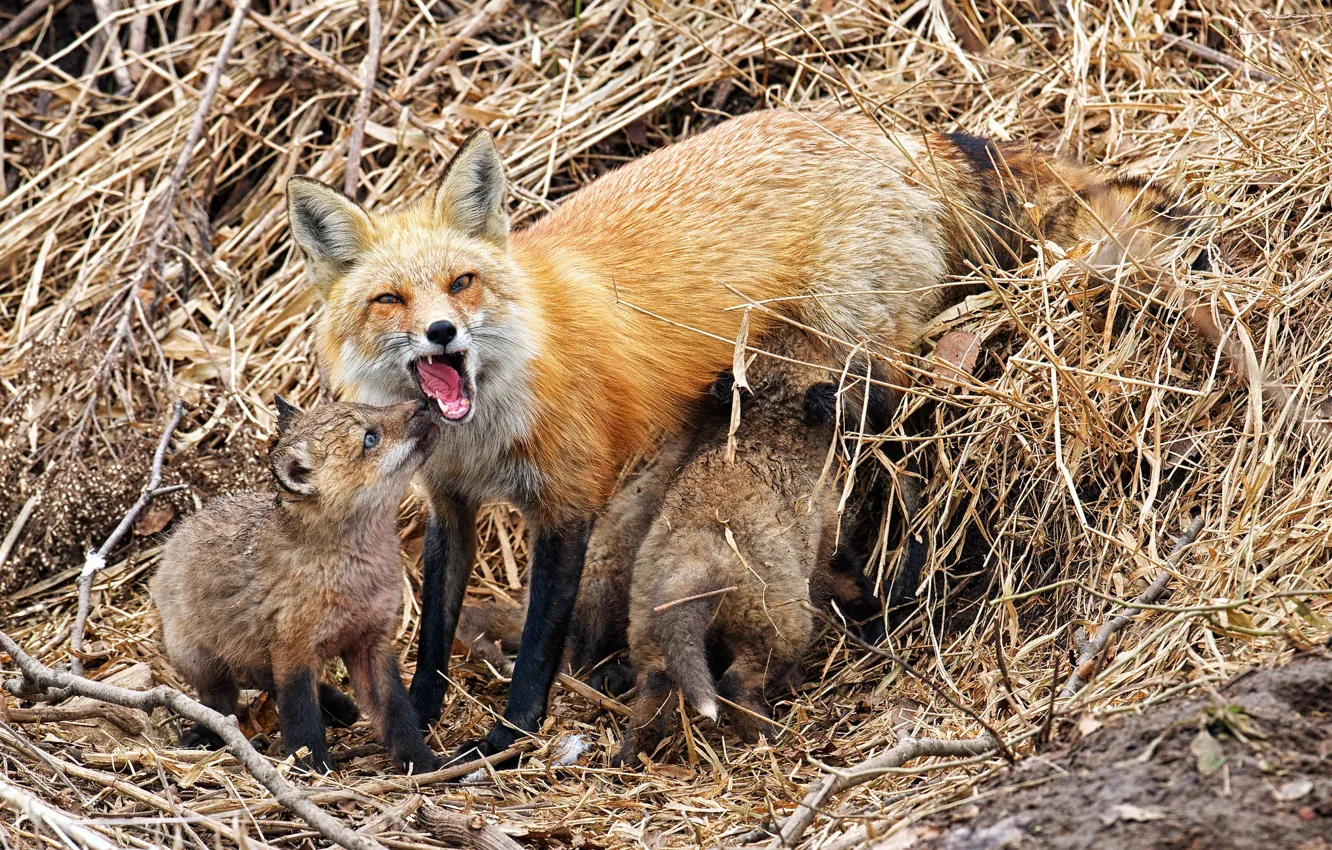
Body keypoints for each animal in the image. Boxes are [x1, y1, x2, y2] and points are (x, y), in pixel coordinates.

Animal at [150, 396, 441, 774]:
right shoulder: (293, 649)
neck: (354, 578)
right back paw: (210, 733)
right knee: (223, 701)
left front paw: (420, 762)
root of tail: (178, 533)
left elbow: (396, 710)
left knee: (259, 676)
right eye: (370, 439)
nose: (424, 401)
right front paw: (312, 769)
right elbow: (300, 715)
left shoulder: (371, 641)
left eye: (372, 407)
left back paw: (338, 706)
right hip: (199, 659)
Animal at [284, 108, 1273, 759]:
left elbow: (534, 651)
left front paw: (502, 740)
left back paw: (894, 595)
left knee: (903, 461)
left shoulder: (569, 504)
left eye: (462, 283)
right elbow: (433, 636)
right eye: (389, 299)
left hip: (862, 366)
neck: (491, 413)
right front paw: (414, 723)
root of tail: (893, 132)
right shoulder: (450, 503)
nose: (441, 335)